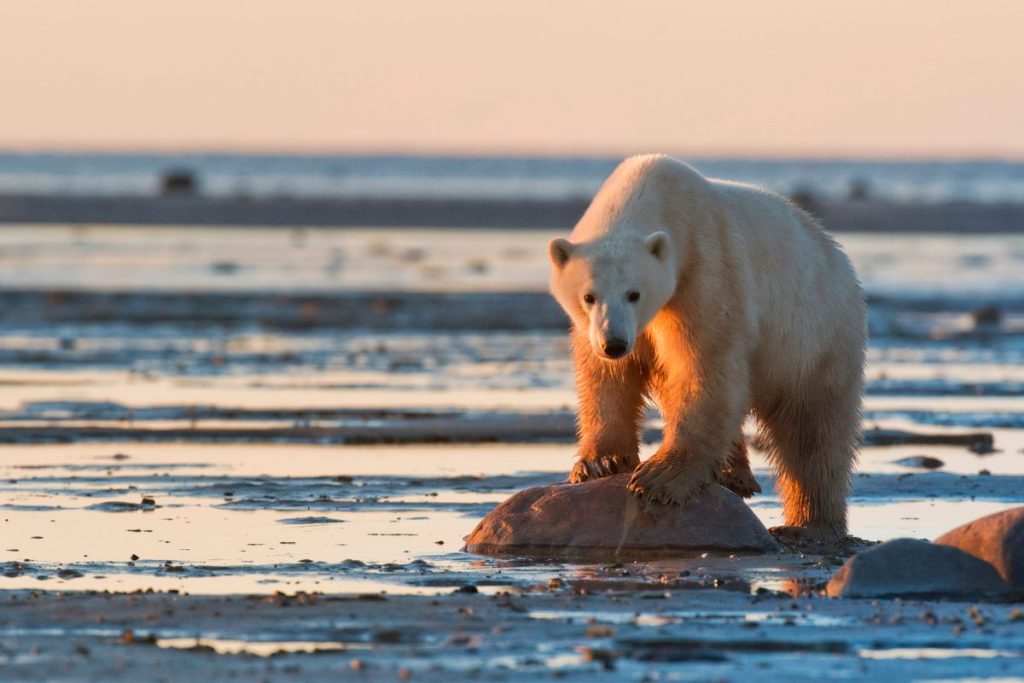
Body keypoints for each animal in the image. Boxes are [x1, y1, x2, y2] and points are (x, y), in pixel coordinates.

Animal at [548, 154, 866, 539]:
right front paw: (600, 463)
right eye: (588, 296)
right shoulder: (602, 329)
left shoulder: (706, 272)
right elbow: (607, 378)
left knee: (813, 430)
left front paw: (660, 477)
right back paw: (735, 473)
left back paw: (811, 522)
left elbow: (705, 366)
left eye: (634, 293)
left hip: (815, 336)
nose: (615, 343)